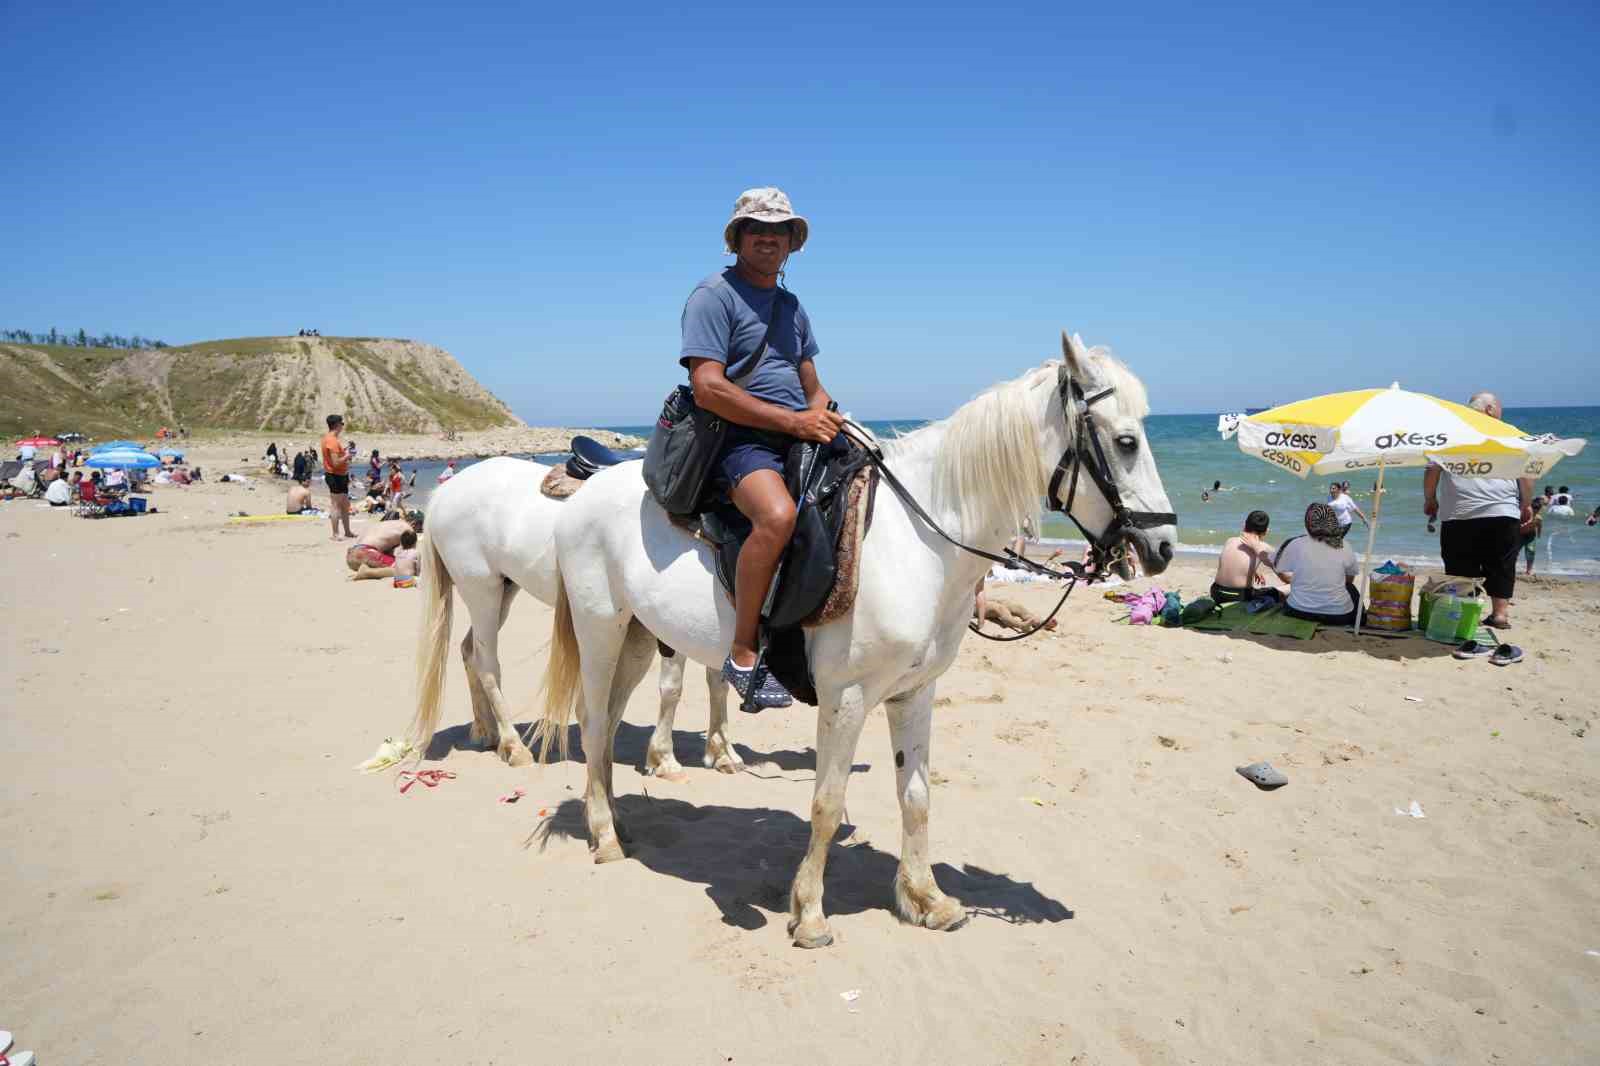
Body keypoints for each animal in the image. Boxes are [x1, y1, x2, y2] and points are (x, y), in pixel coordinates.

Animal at [406, 454, 742, 771]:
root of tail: (445, 492)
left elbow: (719, 682)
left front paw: (722, 752)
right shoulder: (668, 624)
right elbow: (673, 688)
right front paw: (664, 759)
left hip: (504, 590)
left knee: (468, 651)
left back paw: (487, 732)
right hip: (481, 591)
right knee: (486, 662)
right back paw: (514, 745)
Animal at [537, 334, 1177, 947]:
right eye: (1125, 442)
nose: (1164, 547)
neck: (919, 540)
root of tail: (585, 493)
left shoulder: (915, 693)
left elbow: (916, 797)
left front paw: (927, 900)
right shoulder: (845, 700)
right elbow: (826, 803)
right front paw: (810, 914)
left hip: (639, 638)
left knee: (609, 725)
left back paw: (613, 819)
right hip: (600, 629)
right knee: (593, 722)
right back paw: (604, 835)